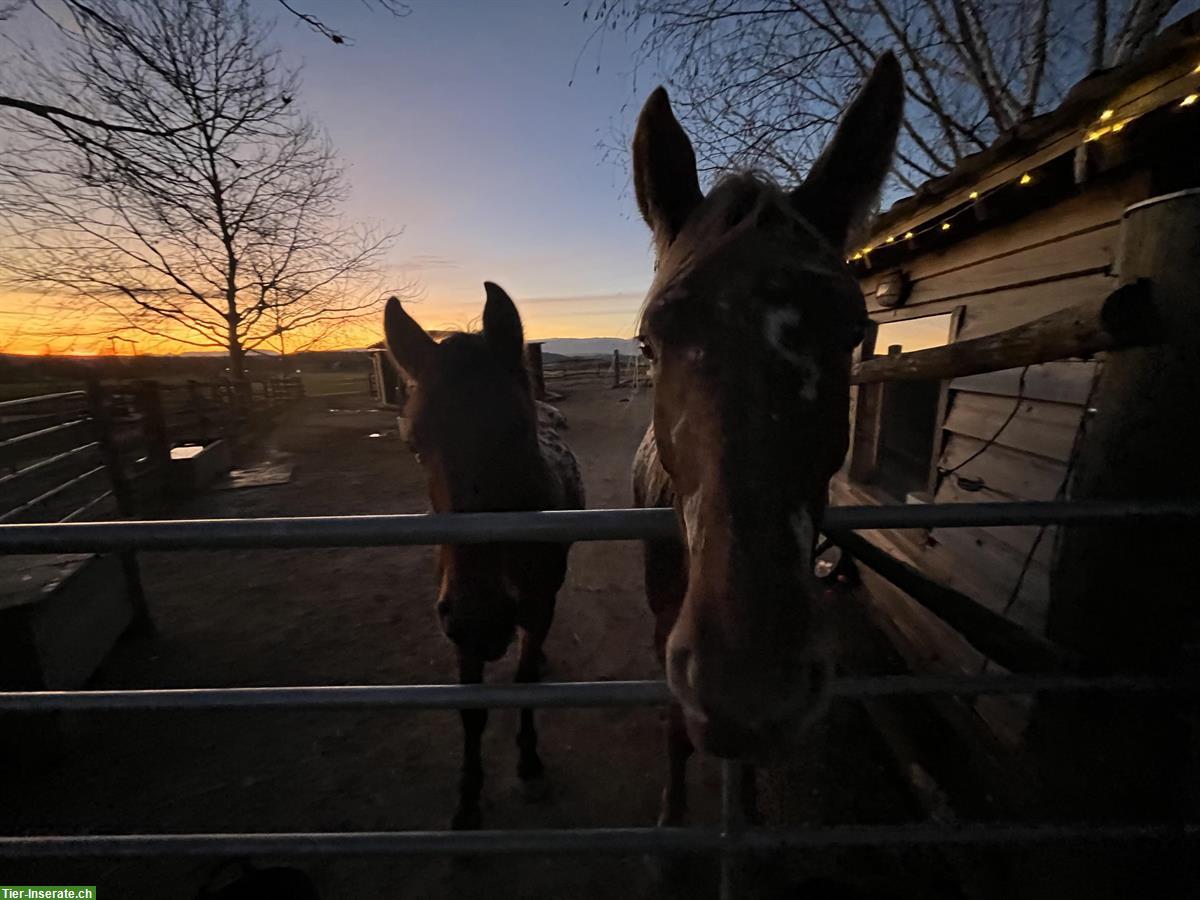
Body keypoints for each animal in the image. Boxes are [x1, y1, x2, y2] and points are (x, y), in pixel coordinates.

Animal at [384, 283, 585, 830]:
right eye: (413, 444)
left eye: (517, 429)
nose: (483, 619)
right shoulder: (455, 621)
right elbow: (472, 709)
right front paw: (468, 799)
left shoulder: (533, 605)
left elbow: (522, 683)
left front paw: (530, 765)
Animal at [628, 52, 902, 830]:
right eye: (649, 342)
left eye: (851, 331)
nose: (749, 690)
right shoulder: (666, 634)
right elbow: (673, 724)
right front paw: (669, 816)